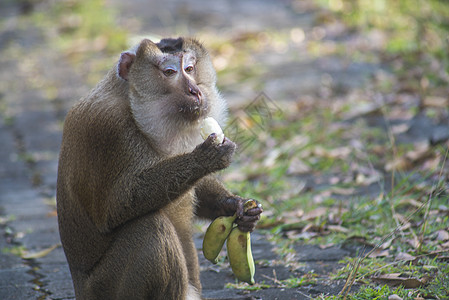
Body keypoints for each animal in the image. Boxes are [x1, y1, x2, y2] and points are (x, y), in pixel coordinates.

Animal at [57, 38, 264, 300]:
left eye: (189, 68)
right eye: (169, 72)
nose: (195, 91)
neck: (128, 100)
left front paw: (237, 206)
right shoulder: (110, 131)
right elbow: (115, 208)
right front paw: (206, 158)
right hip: (104, 289)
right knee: (150, 229)